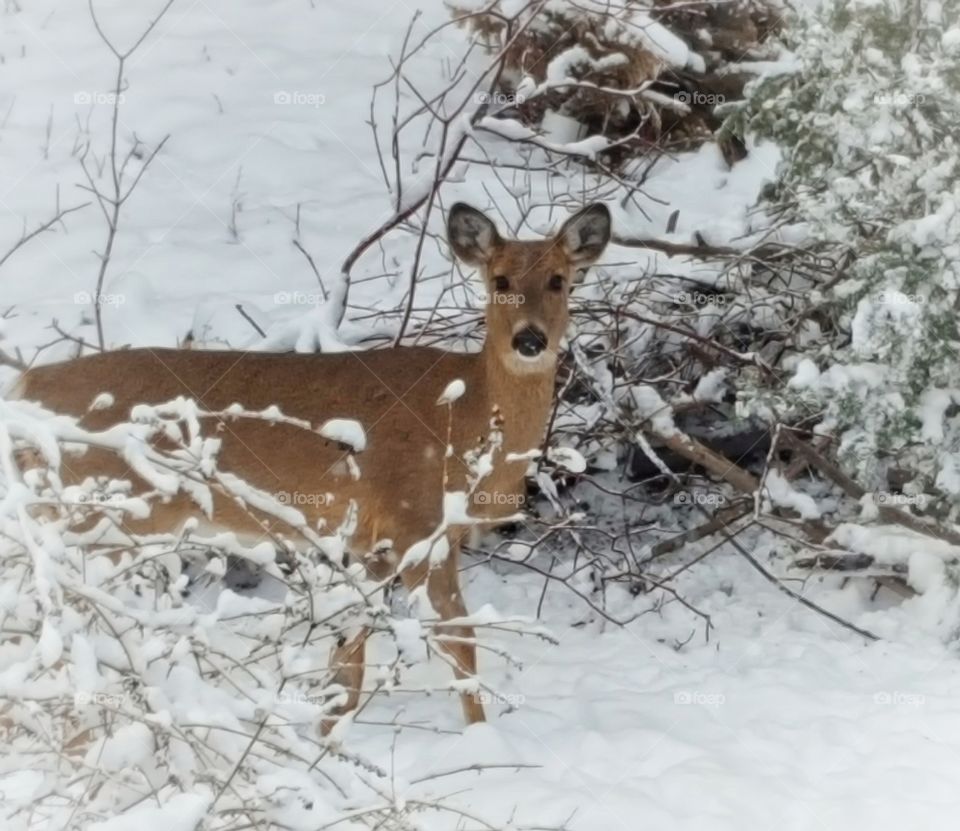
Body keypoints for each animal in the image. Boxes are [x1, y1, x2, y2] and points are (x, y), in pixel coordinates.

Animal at [12, 201, 611, 730]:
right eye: (500, 279)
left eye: (559, 280)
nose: (529, 339)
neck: (467, 418)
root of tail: (23, 388)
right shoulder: (417, 524)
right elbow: (458, 642)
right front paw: (479, 741)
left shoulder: (371, 546)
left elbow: (348, 659)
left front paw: (328, 739)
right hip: (98, 517)